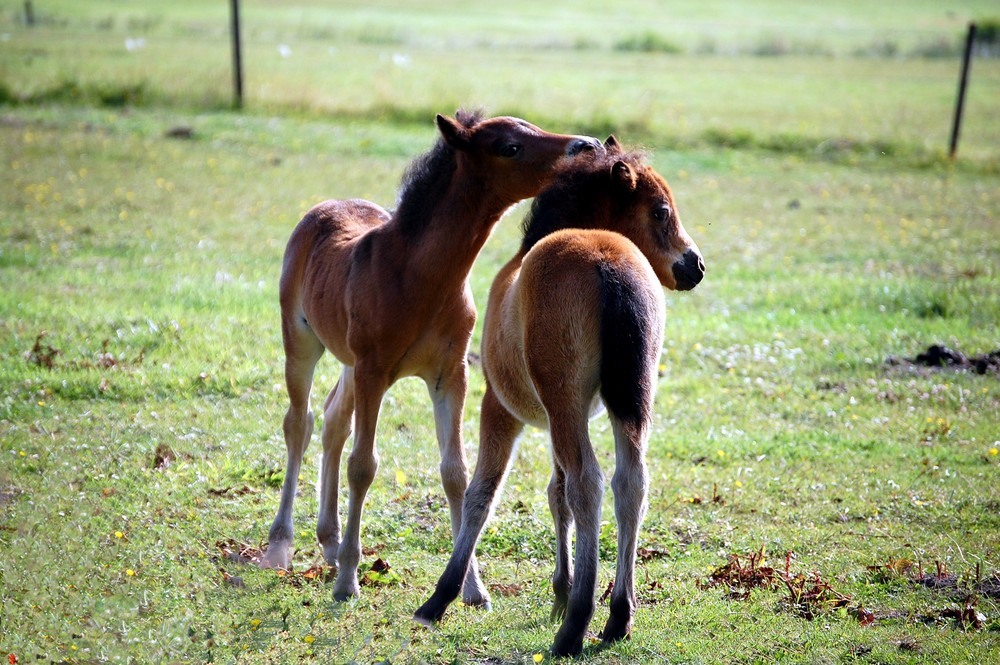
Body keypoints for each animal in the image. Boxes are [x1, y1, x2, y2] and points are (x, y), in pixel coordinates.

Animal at [260, 110, 600, 600]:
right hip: (303, 342)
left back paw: (329, 541)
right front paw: (348, 582)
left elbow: (456, 471)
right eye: (510, 146)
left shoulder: (450, 375)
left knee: (332, 421)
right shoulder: (374, 371)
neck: (420, 275)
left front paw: (472, 586)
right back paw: (281, 545)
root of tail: (324, 207)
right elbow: (363, 466)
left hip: (348, 362)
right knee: (299, 423)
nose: (588, 145)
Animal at [414, 137, 704, 656]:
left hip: (562, 400)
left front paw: (442, 597)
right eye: (660, 211)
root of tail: (606, 260)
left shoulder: (500, 405)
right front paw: (559, 591)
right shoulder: (564, 415)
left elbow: (481, 492)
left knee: (589, 482)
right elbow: (555, 493)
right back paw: (617, 616)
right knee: (630, 482)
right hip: (626, 400)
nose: (696, 265)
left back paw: (576, 626)